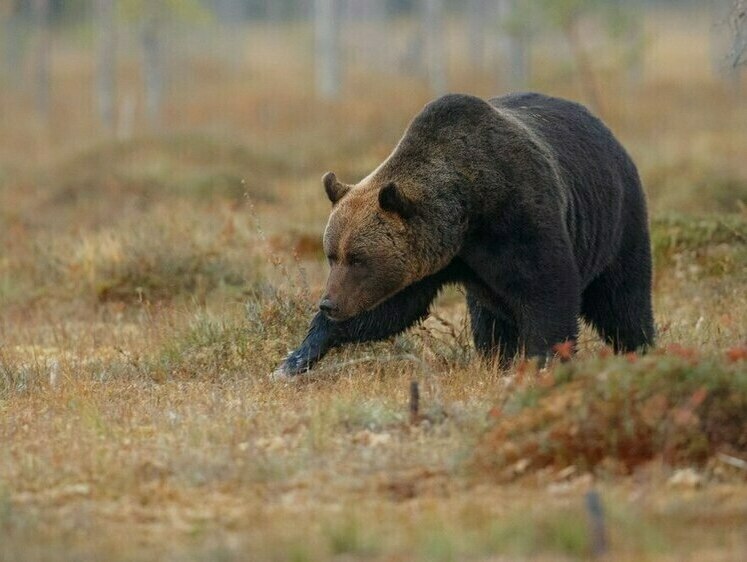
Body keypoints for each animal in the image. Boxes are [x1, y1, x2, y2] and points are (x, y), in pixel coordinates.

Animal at [274, 92, 656, 376]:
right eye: (331, 254)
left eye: (358, 258)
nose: (328, 303)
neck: (466, 214)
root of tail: (605, 129)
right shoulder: (434, 260)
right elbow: (390, 310)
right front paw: (295, 358)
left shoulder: (519, 218)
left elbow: (548, 292)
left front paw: (544, 363)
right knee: (489, 317)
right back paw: (495, 358)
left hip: (618, 222)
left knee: (623, 300)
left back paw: (640, 348)